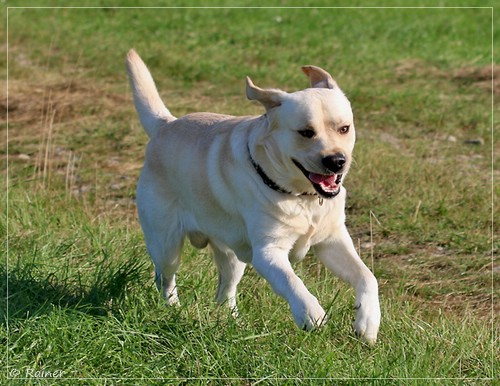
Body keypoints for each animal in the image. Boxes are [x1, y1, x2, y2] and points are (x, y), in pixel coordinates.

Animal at [125, 49, 378, 344]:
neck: (300, 196)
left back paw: (233, 323)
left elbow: (367, 276)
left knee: (225, 293)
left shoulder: (332, 241)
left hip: (232, 256)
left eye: (344, 128)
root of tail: (166, 125)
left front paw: (367, 322)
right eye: (306, 132)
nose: (337, 161)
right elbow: (292, 281)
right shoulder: (268, 252)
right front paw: (311, 313)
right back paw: (173, 309)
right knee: (164, 279)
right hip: (166, 245)